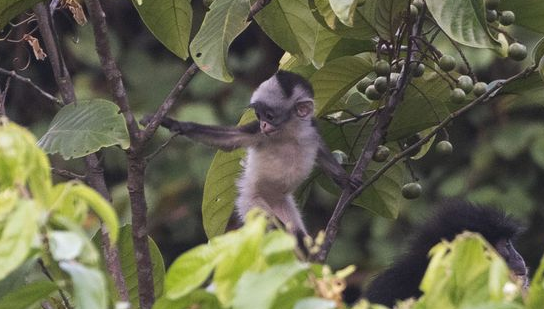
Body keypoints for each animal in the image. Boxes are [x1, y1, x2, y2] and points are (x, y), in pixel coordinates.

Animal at [151, 71, 360, 241]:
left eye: (270, 116)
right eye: (259, 116)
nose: (263, 125)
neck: (289, 134)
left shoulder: (311, 131)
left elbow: (323, 155)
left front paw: (346, 180)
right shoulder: (258, 134)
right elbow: (228, 142)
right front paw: (175, 124)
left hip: (283, 205)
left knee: (296, 231)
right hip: (252, 202)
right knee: (283, 230)